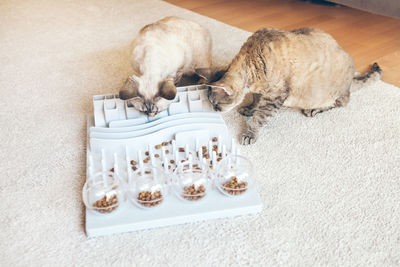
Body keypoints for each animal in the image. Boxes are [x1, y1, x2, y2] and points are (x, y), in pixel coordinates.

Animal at [205, 27, 382, 146]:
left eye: (216, 104)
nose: (213, 110)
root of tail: (351, 79)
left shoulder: (274, 98)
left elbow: (259, 119)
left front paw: (250, 133)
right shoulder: (261, 92)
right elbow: (255, 101)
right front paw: (249, 109)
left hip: (329, 94)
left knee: (342, 102)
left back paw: (314, 109)